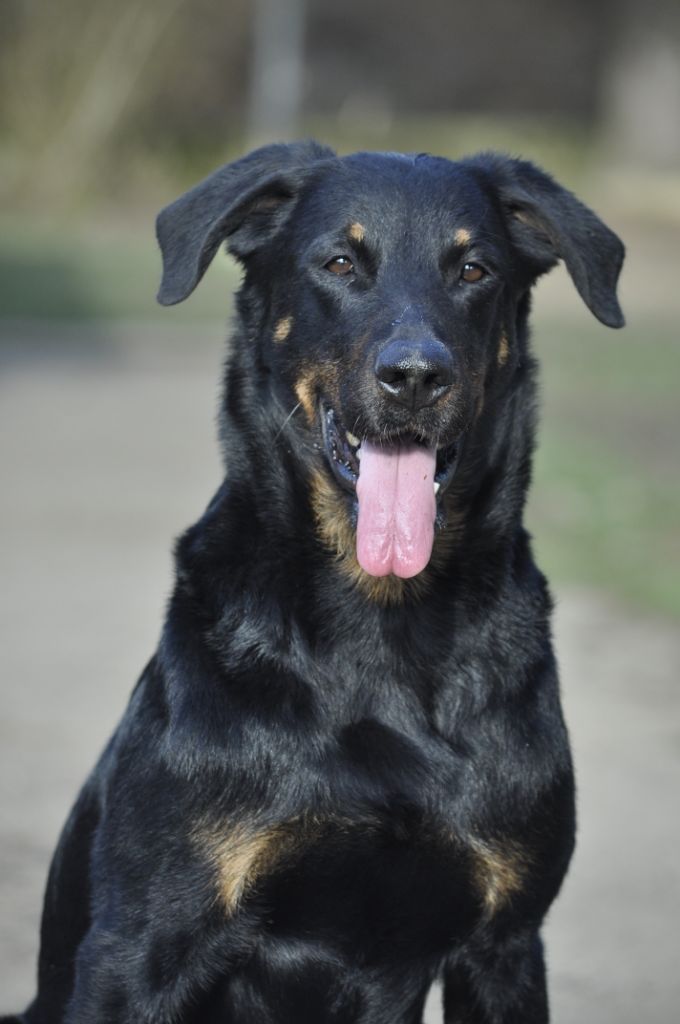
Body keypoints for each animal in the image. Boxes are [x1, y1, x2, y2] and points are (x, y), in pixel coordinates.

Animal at [6, 144, 622, 1024]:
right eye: (339, 263)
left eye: (473, 270)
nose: (415, 376)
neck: (381, 621)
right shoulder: (142, 943)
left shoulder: (505, 945)